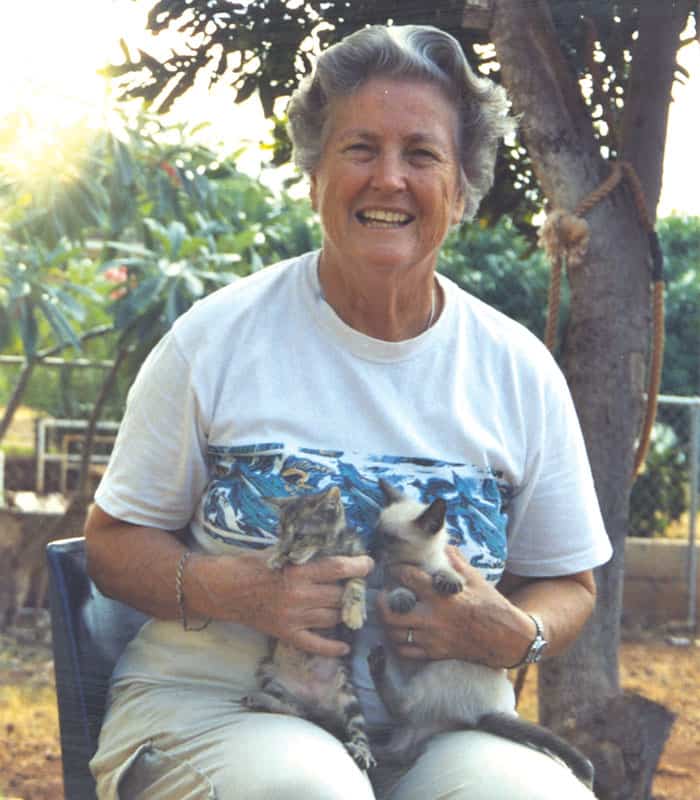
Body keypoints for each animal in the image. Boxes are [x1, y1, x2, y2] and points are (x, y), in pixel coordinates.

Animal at [242, 484, 374, 772]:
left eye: (301, 535)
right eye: (281, 533)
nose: (287, 551)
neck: (322, 554)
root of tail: (317, 702)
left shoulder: (358, 558)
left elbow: (356, 584)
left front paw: (353, 614)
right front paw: (275, 557)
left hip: (347, 691)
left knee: (354, 726)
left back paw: (362, 750)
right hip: (269, 673)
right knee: (299, 711)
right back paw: (262, 700)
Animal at [370, 478, 592, 792]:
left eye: (388, 539)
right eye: (375, 532)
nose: (369, 547)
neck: (416, 568)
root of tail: (478, 717)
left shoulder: (441, 569)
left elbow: (448, 573)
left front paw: (448, 582)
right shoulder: (388, 586)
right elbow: (394, 592)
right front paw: (404, 599)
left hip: (444, 666)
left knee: (403, 710)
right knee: (400, 730)